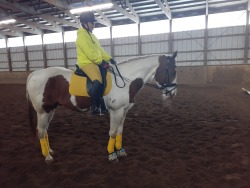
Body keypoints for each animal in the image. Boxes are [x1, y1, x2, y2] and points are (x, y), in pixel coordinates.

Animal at [25, 50, 178, 162]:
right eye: (173, 71)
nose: (173, 93)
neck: (125, 80)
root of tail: (35, 73)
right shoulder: (116, 111)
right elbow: (113, 132)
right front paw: (112, 154)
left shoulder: (124, 111)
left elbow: (120, 131)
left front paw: (120, 151)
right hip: (42, 111)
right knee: (41, 131)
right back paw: (47, 156)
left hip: (50, 110)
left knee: (45, 130)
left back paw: (49, 150)